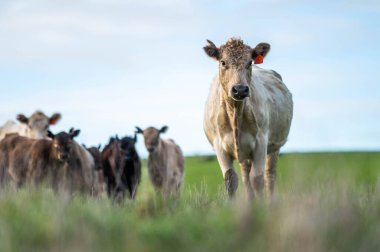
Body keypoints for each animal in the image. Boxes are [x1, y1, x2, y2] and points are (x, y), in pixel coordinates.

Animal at [203, 37, 292, 199]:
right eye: (223, 62)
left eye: (250, 62)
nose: (240, 89)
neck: (235, 112)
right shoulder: (220, 147)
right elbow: (231, 179)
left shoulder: (261, 142)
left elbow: (257, 178)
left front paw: (261, 205)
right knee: (245, 176)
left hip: (275, 146)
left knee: (269, 175)